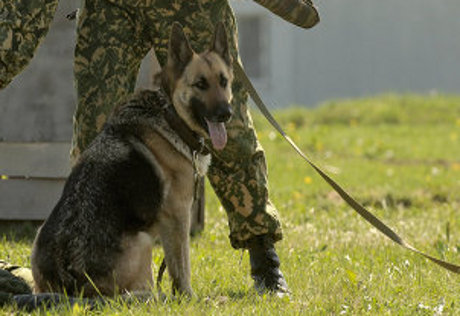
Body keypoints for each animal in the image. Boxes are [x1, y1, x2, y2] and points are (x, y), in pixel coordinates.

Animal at [31, 22, 234, 298]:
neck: (171, 115)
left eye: (223, 81)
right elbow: (181, 267)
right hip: (143, 241)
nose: (226, 114)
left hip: (38, 236)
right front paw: (188, 298)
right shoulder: (178, 216)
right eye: (200, 84)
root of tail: (70, 279)